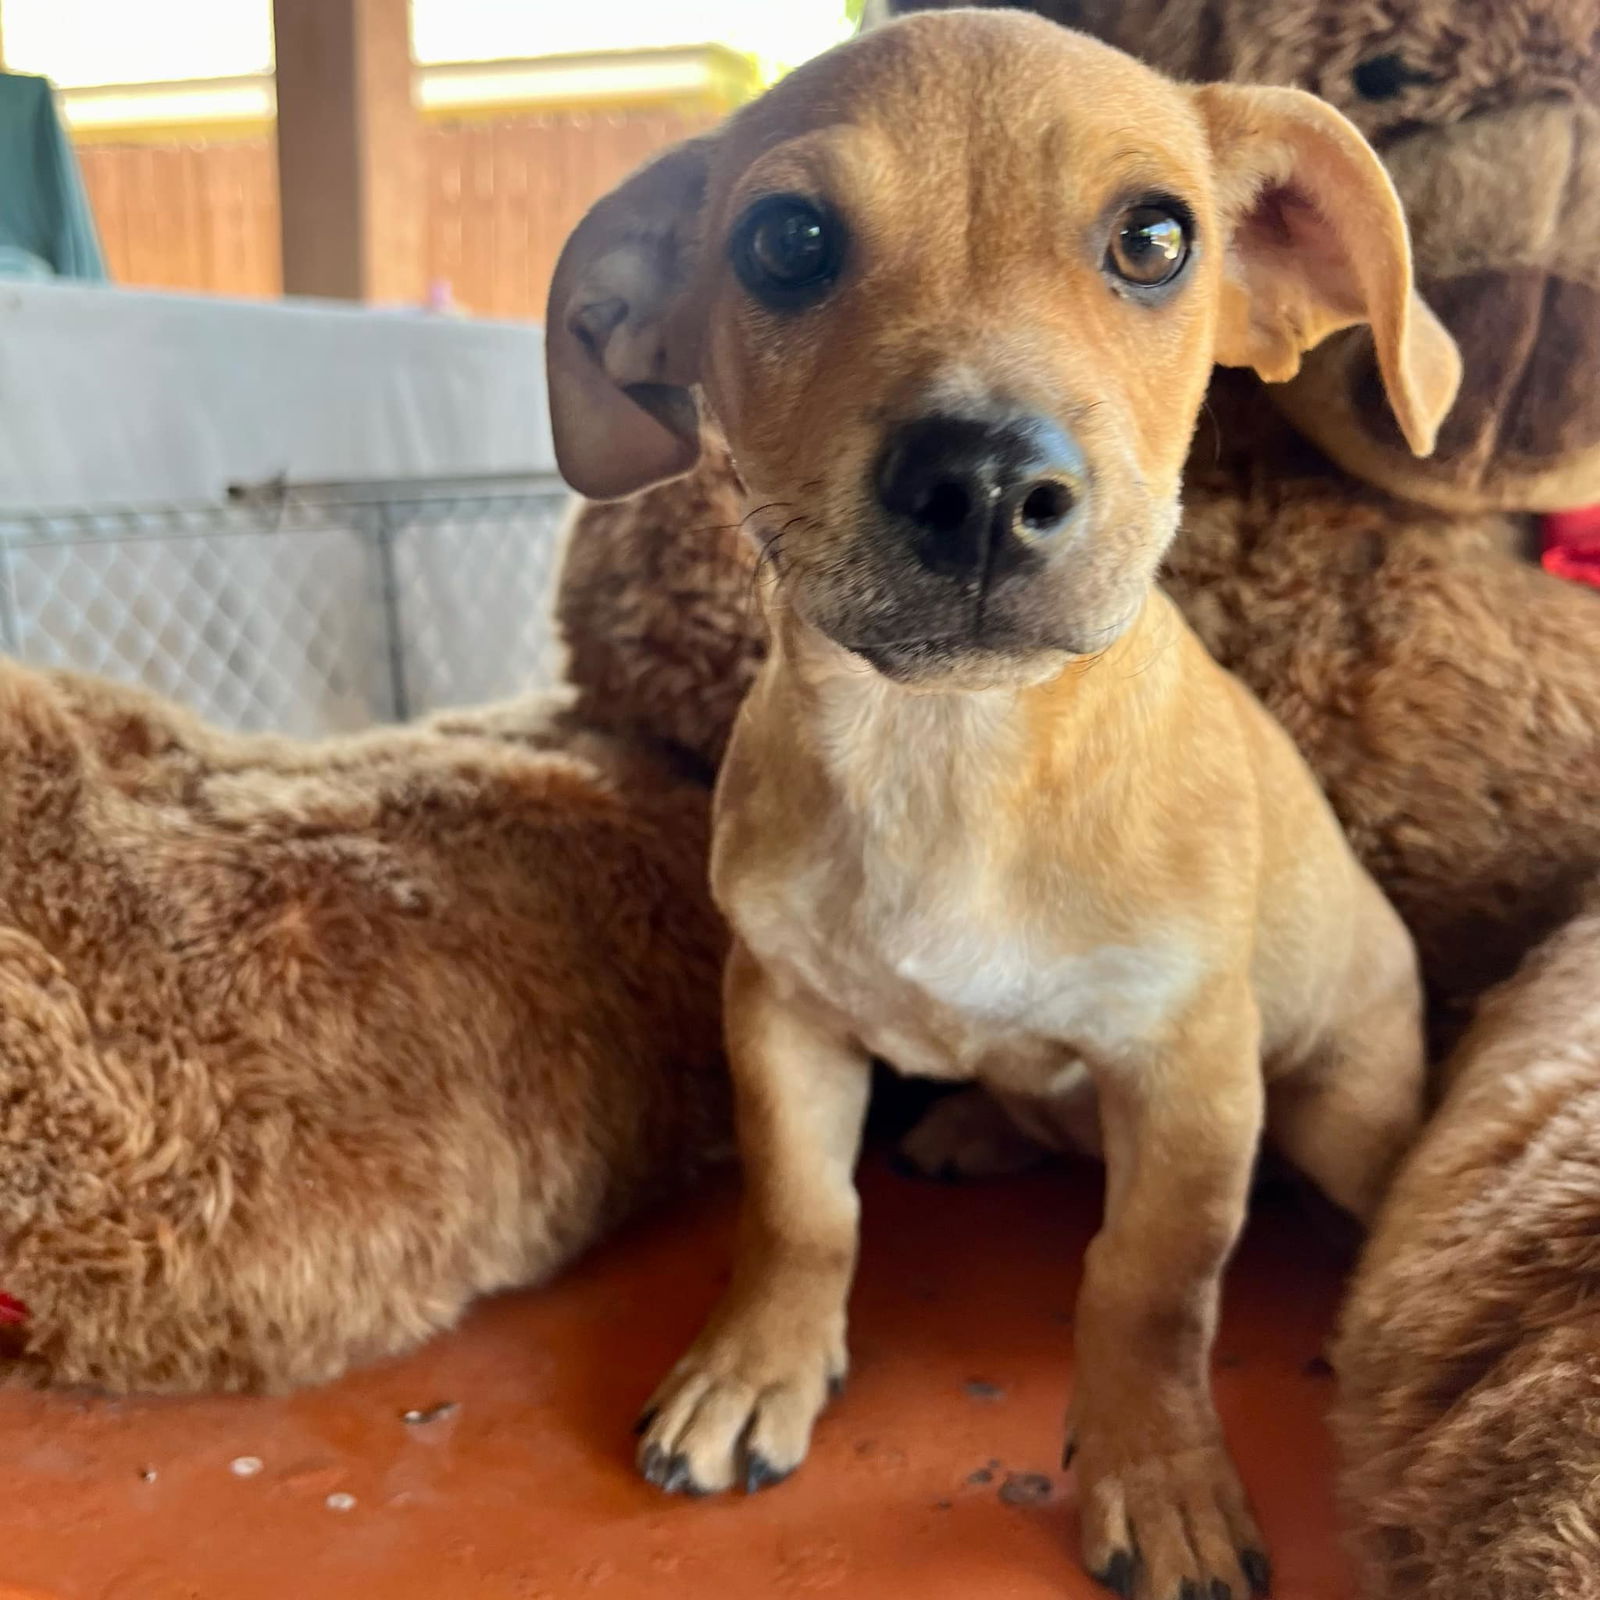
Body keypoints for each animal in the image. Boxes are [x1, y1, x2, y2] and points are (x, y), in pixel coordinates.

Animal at [544, 9, 1459, 1587]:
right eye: (785, 240)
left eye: (1155, 238)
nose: (978, 482)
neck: (948, 757)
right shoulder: (778, 1011)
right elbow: (800, 1208)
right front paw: (753, 1366)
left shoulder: (1190, 1074)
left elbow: (1146, 1284)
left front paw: (1160, 1476)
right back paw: (979, 1123)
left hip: (1340, 1101)